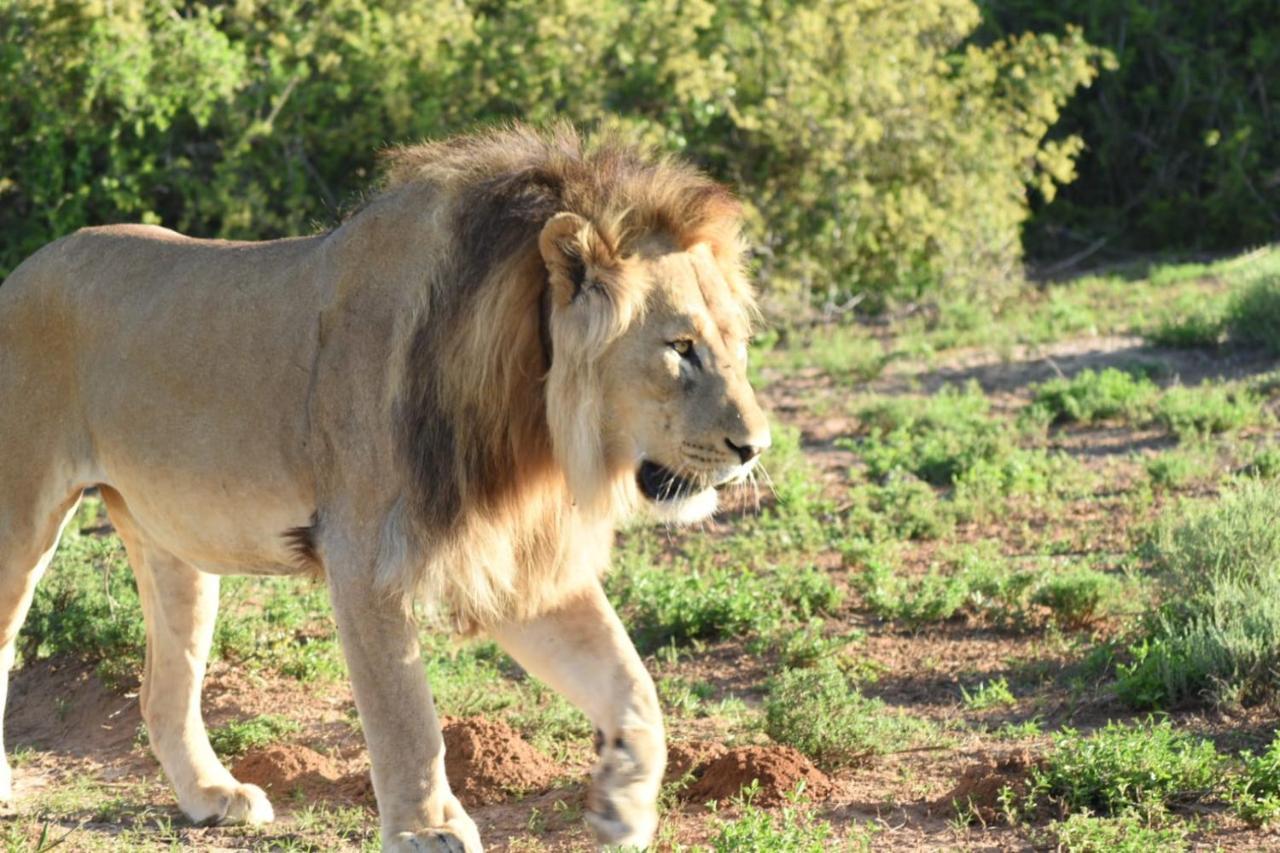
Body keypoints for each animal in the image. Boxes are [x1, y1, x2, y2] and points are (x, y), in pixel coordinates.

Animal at [0, 128, 768, 850]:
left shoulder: (516, 559)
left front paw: (622, 805)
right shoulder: (364, 554)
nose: (755, 447)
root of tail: (21, 270)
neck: (530, 416)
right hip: (20, 520)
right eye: (680, 348)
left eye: (737, 343)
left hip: (172, 544)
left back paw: (213, 795)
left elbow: (631, 684)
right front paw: (427, 828)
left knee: (163, 693)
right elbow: (406, 714)